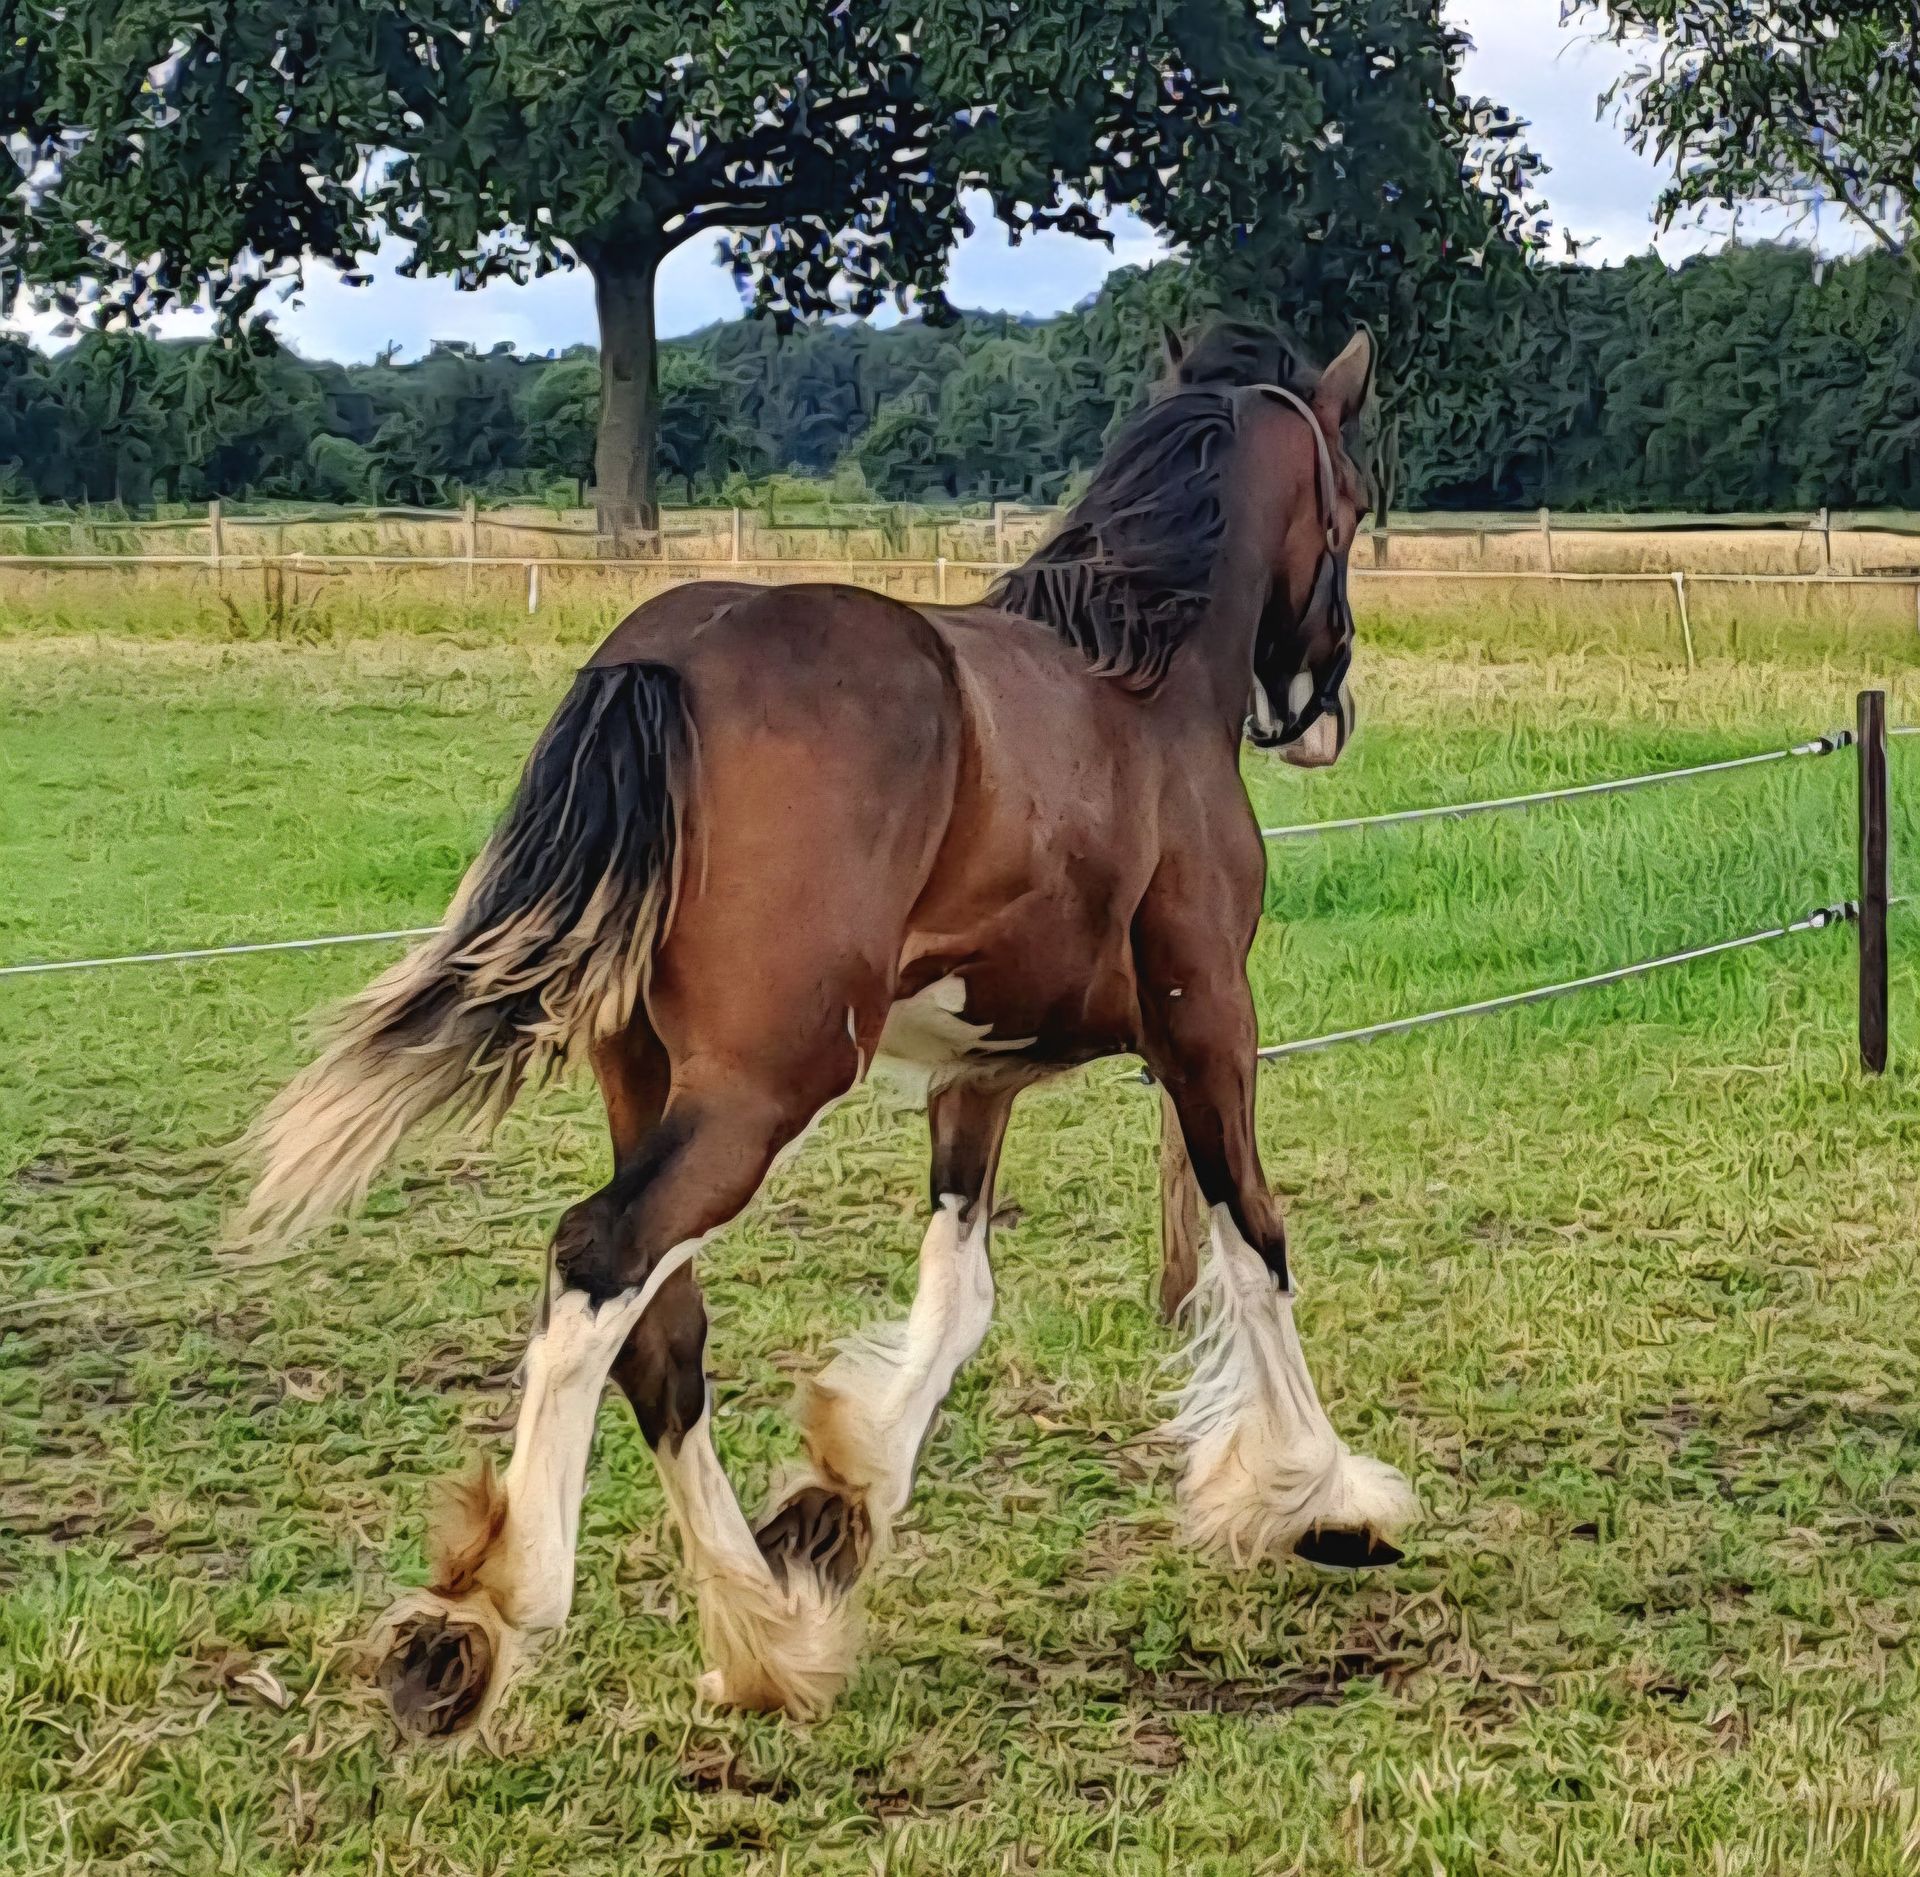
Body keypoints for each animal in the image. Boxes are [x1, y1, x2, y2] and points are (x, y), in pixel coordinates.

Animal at [236, 317, 1416, 1737]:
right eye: (1350, 501)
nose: (1323, 711)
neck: (1142, 690)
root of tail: (660, 657)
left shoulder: (978, 1077)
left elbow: (960, 1294)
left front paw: (837, 1504)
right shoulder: (1207, 1028)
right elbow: (1256, 1239)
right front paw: (1326, 1498)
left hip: (646, 1077)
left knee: (662, 1337)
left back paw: (761, 1634)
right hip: (766, 1083)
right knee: (598, 1253)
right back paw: (489, 1610)